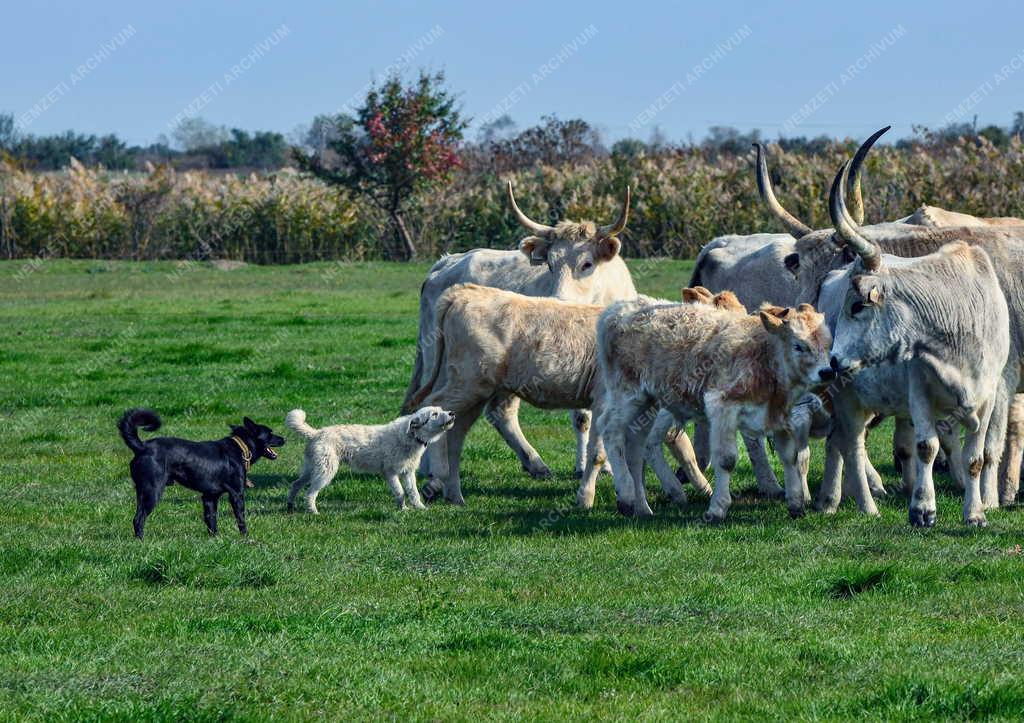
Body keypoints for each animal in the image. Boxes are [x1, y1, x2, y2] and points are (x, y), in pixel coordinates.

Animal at [118, 405, 286, 536]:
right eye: (270, 433)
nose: (284, 439)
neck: (241, 448)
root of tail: (142, 447)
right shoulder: (237, 494)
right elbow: (240, 518)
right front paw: (245, 536)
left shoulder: (209, 497)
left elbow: (211, 520)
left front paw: (215, 538)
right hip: (152, 491)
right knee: (139, 518)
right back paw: (141, 540)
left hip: (142, 492)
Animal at [282, 405, 454, 512]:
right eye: (434, 414)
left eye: (440, 410)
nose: (452, 413)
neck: (410, 437)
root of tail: (316, 433)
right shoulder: (390, 473)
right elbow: (400, 492)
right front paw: (403, 509)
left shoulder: (408, 472)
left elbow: (413, 492)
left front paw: (419, 508)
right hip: (325, 471)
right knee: (310, 493)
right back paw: (313, 511)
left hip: (311, 469)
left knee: (295, 484)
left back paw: (290, 506)